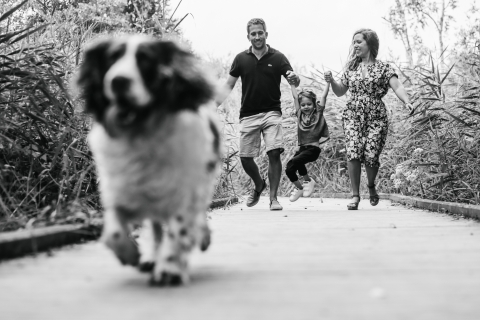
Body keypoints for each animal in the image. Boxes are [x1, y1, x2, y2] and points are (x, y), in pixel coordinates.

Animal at [77, 35, 221, 284]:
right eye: (112, 59)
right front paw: (130, 255)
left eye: (145, 61)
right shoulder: (120, 190)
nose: (117, 81)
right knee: (156, 230)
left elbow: (180, 229)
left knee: (197, 217)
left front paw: (170, 269)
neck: (141, 134)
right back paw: (153, 258)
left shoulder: (185, 191)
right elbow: (114, 231)